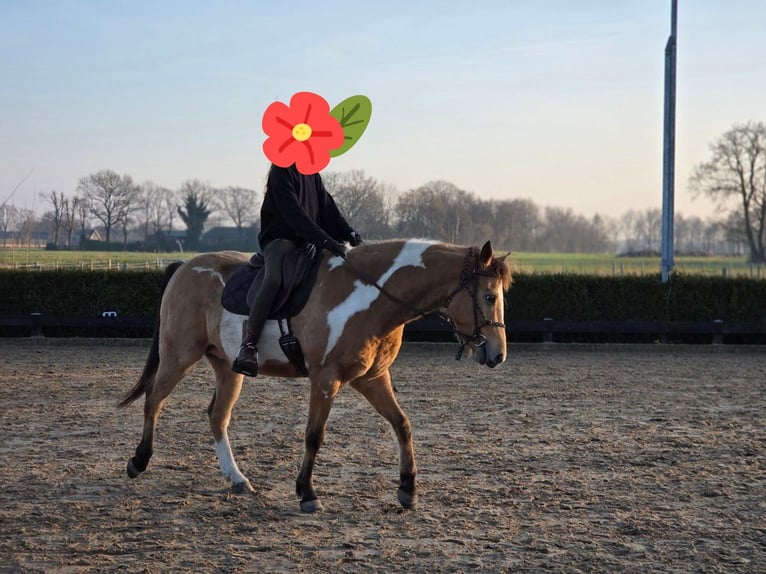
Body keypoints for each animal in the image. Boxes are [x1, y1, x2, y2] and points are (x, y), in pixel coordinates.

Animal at [119, 239, 511, 512]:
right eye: (489, 297)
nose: (497, 354)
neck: (369, 297)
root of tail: (186, 266)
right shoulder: (325, 378)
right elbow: (314, 436)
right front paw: (307, 493)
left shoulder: (372, 378)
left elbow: (402, 425)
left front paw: (408, 489)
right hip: (179, 355)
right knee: (154, 400)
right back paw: (139, 461)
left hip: (228, 368)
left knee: (217, 416)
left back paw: (237, 479)